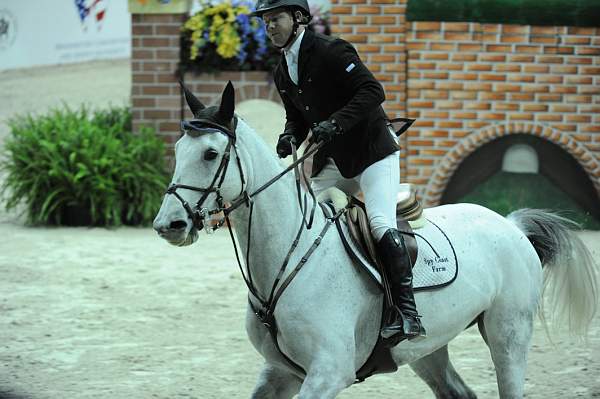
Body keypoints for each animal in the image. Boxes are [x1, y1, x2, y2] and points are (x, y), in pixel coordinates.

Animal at [152, 83, 596, 398]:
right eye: (178, 148)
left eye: (210, 154)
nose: (169, 225)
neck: (287, 259)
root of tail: (511, 225)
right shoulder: (280, 373)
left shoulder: (328, 373)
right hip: (429, 347)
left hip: (508, 333)